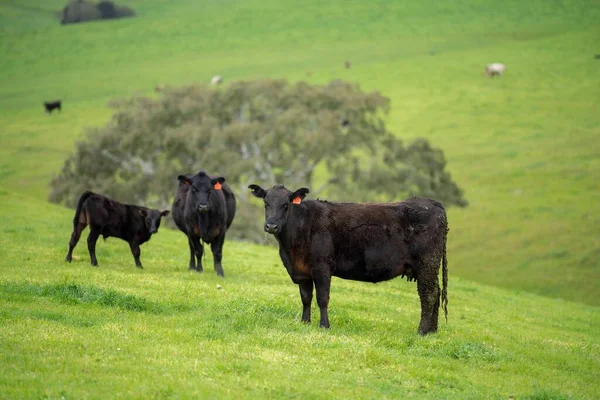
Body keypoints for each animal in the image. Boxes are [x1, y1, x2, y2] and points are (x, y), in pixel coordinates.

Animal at [248, 184, 450, 334]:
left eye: (286, 205)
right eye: (266, 203)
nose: (271, 226)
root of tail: (432, 203)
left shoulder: (322, 267)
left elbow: (322, 298)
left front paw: (324, 326)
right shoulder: (302, 271)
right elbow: (306, 298)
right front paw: (304, 322)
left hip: (426, 265)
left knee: (429, 295)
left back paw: (422, 331)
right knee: (435, 293)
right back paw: (432, 331)